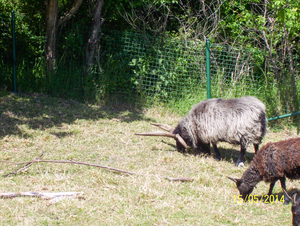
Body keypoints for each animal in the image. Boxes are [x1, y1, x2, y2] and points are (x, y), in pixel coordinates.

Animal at [136, 96, 268, 166]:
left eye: (179, 140)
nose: (179, 150)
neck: (193, 123)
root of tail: (261, 110)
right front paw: (208, 153)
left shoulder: (210, 132)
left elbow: (213, 145)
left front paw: (216, 156)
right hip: (257, 133)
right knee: (256, 145)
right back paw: (257, 157)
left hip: (246, 133)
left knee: (243, 148)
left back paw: (239, 162)